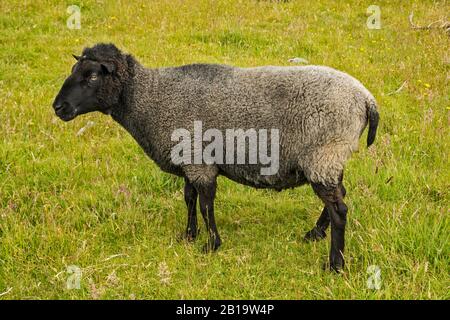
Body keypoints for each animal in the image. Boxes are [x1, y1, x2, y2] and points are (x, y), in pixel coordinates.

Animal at [52, 43, 378, 272]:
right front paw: (188, 236)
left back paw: (334, 264)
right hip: (330, 158)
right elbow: (189, 199)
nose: (58, 107)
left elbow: (206, 204)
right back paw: (314, 234)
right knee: (338, 197)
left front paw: (211, 245)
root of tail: (366, 99)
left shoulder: (200, 163)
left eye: (92, 75)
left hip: (324, 153)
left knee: (339, 210)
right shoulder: (189, 160)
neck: (149, 98)